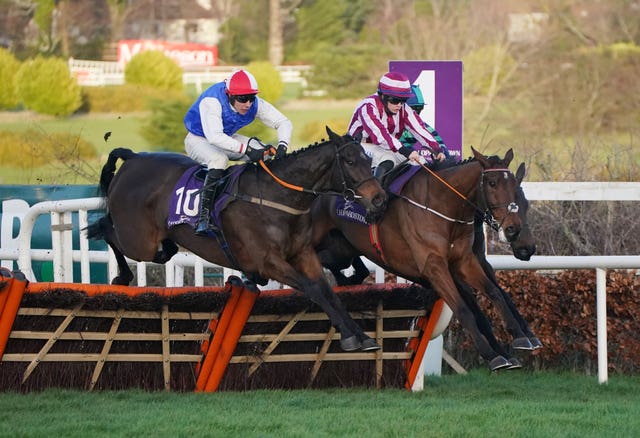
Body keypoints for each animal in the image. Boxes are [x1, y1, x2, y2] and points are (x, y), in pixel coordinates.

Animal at [87, 126, 388, 352]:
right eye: (350, 161)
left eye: (368, 160)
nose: (379, 199)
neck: (278, 198)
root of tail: (133, 158)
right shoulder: (268, 261)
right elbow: (313, 289)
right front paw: (349, 336)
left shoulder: (303, 254)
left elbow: (328, 292)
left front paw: (361, 335)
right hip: (139, 242)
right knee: (106, 228)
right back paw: (121, 274)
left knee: (163, 249)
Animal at [314, 148, 528, 370]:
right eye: (492, 183)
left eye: (514, 185)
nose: (514, 229)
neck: (442, 206)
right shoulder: (434, 267)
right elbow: (463, 309)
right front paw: (492, 355)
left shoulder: (464, 261)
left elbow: (495, 293)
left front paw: (520, 339)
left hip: (342, 249)